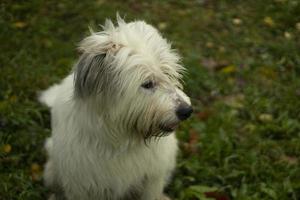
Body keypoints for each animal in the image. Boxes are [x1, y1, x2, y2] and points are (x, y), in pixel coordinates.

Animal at [39, 17, 192, 200]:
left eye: (168, 74)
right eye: (147, 84)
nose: (187, 111)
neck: (121, 138)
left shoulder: (152, 178)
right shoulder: (81, 185)